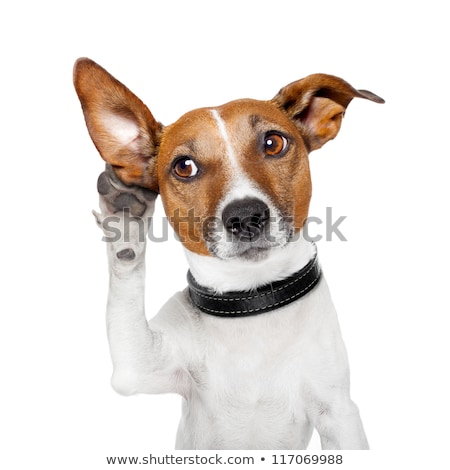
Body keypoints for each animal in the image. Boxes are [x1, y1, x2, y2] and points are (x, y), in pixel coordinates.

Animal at [73, 57, 384, 450]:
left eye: (273, 143)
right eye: (184, 166)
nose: (245, 216)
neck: (252, 300)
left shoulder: (337, 411)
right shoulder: (139, 366)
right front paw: (125, 220)